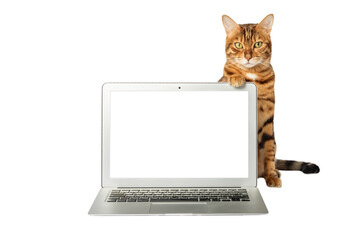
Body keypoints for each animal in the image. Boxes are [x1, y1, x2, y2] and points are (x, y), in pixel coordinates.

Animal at [219, 14, 320, 188]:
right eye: (238, 45)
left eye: (257, 44)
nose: (247, 57)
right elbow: (229, 76)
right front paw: (236, 77)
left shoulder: (268, 119)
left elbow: (268, 152)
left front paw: (271, 175)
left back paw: (274, 172)